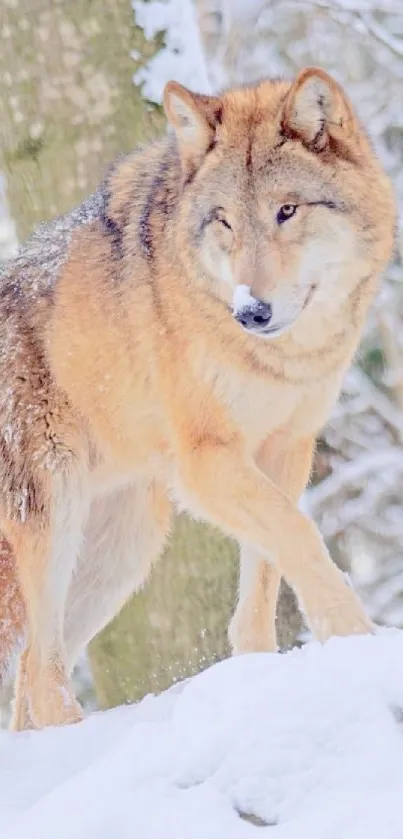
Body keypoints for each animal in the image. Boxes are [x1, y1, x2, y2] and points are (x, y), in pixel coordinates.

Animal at [0, 67, 398, 728]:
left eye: (287, 210)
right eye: (225, 222)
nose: (251, 311)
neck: (279, 361)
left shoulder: (287, 449)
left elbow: (266, 571)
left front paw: (261, 671)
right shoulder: (207, 460)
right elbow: (298, 535)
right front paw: (353, 640)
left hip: (123, 552)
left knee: (29, 680)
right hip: (54, 523)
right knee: (40, 674)